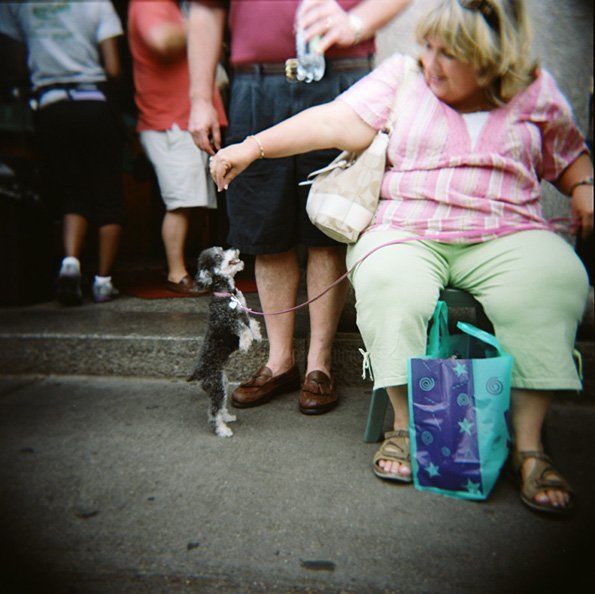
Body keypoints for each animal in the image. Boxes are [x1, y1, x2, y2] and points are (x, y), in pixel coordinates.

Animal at [187, 245, 260, 434]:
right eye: (218, 256)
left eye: (221, 248)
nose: (235, 248)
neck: (227, 292)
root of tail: (199, 372)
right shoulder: (227, 320)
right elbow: (243, 329)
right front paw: (245, 344)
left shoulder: (243, 310)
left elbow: (252, 322)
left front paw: (257, 335)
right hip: (216, 386)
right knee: (213, 411)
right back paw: (222, 430)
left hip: (222, 382)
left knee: (219, 407)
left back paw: (227, 417)